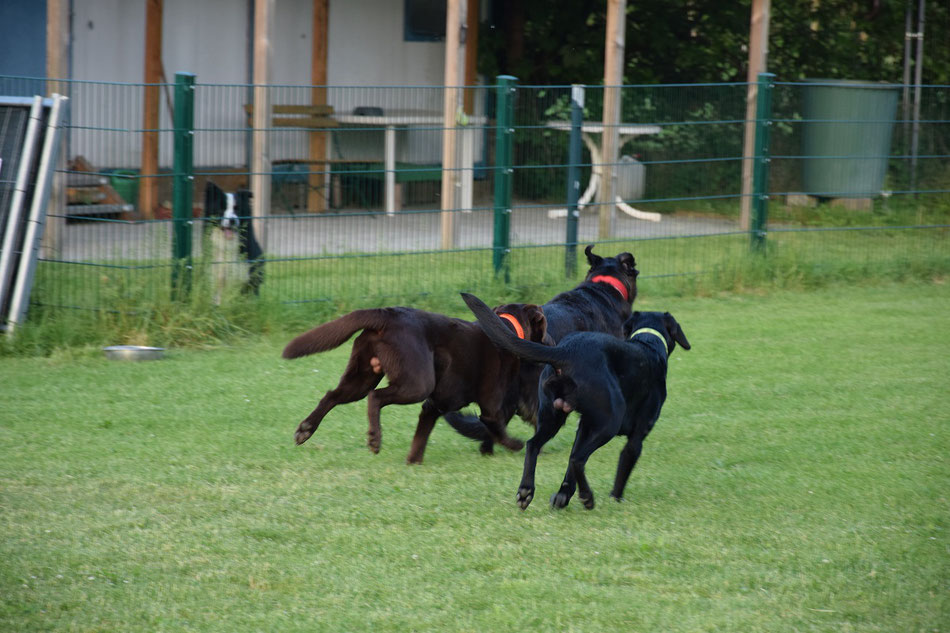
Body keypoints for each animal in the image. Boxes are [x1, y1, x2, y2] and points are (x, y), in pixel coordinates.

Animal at [282, 302, 552, 464]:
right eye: (544, 325)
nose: (551, 343)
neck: (507, 329)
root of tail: (386, 314)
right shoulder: (491, 409)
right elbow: (498, 431)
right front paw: (516, 444)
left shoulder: (432, 407)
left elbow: (419, 439)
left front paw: (413, 462)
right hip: (417, 384)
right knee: (375, 397)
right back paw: (374, 438)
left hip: (361, 377)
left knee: (332, 396)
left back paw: (305, 429)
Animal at [462, 294, 692, 512]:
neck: (648, 342)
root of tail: (565, 352)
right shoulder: (636, 436)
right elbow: (622, 467)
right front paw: (615, 498)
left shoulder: (585, 426)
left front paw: (562, 496)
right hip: (610, 422)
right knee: (578, 459)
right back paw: (587, 497)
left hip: (552, 418)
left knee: (534, 445)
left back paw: (526, 491)